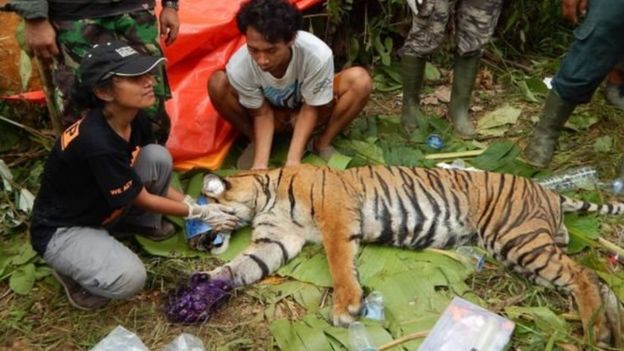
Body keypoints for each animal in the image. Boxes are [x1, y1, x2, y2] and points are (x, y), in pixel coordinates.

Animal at [200, 164, 624, 346]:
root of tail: (548, 190)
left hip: (519, 241)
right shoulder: (275, 241)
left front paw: (347, 307)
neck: (264, 196)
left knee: (584, 275)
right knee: (597, 279)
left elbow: (339, 261)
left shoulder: (336, 213)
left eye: (201, 208)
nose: (201, 240)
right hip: (525, 251)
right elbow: (241, 266)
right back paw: (609, 328)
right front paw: (202, 288)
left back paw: (596, 330)